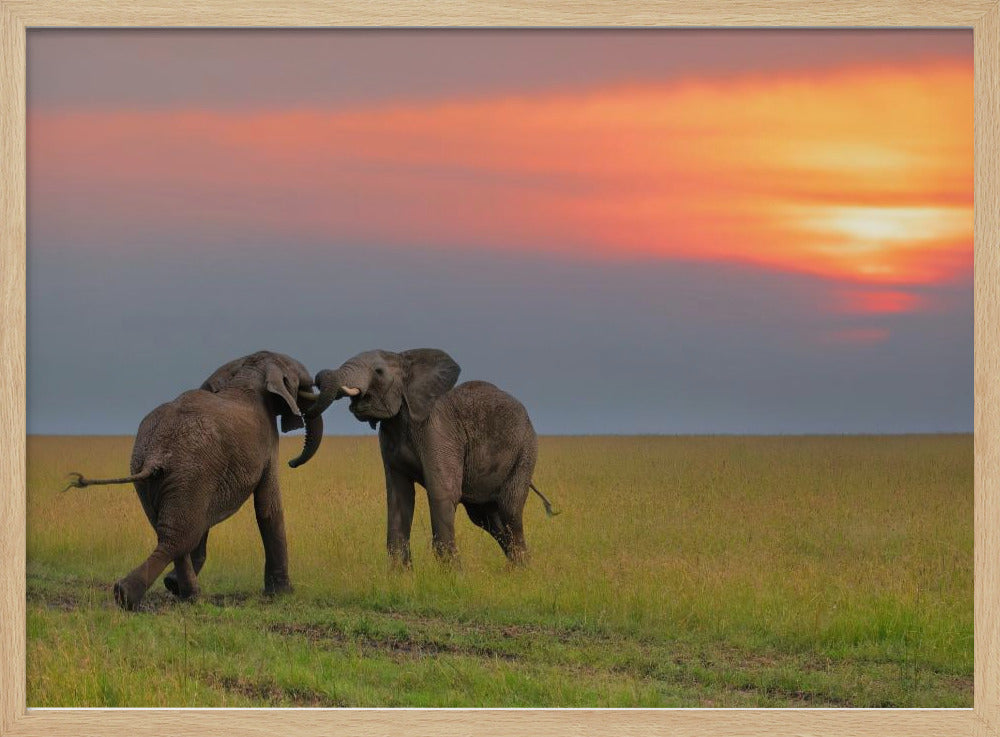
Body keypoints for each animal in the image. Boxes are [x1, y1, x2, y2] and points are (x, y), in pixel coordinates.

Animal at [304, 348, 556, 568]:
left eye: (378, 371)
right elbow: (399, 498)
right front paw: (400, 577)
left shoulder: (436, 430)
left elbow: (442, 492)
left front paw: (452, 578)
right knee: (488, 519)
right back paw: (516, 570)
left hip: (525, 452)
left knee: (510, 511)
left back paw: (524, 572)